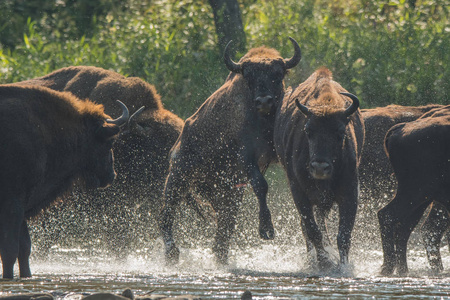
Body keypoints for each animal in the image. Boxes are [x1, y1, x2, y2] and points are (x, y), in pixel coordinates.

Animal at [0, 83, 128, 278]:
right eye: (110, 142)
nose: (111, 175)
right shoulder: (12, 206)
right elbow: (10, 250)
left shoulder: (24, 207)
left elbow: (24, 249)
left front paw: (27, 275)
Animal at [159, 37, 302, 264]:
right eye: (249, 76)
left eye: (278, 74)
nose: (264, 101)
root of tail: (177, 143)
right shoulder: (246, 159)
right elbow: (261, 185)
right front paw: (266, 230)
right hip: (178, 178)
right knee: (166, 214)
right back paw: (173, 254)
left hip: (224, 190)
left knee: (225, 220)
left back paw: (220, 254)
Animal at [380, 105, 450, 276]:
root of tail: (402, 128)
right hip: (414, 192)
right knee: (387, 215)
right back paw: (389, 268)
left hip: (422, 198)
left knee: (405, 228)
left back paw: (403, 270)